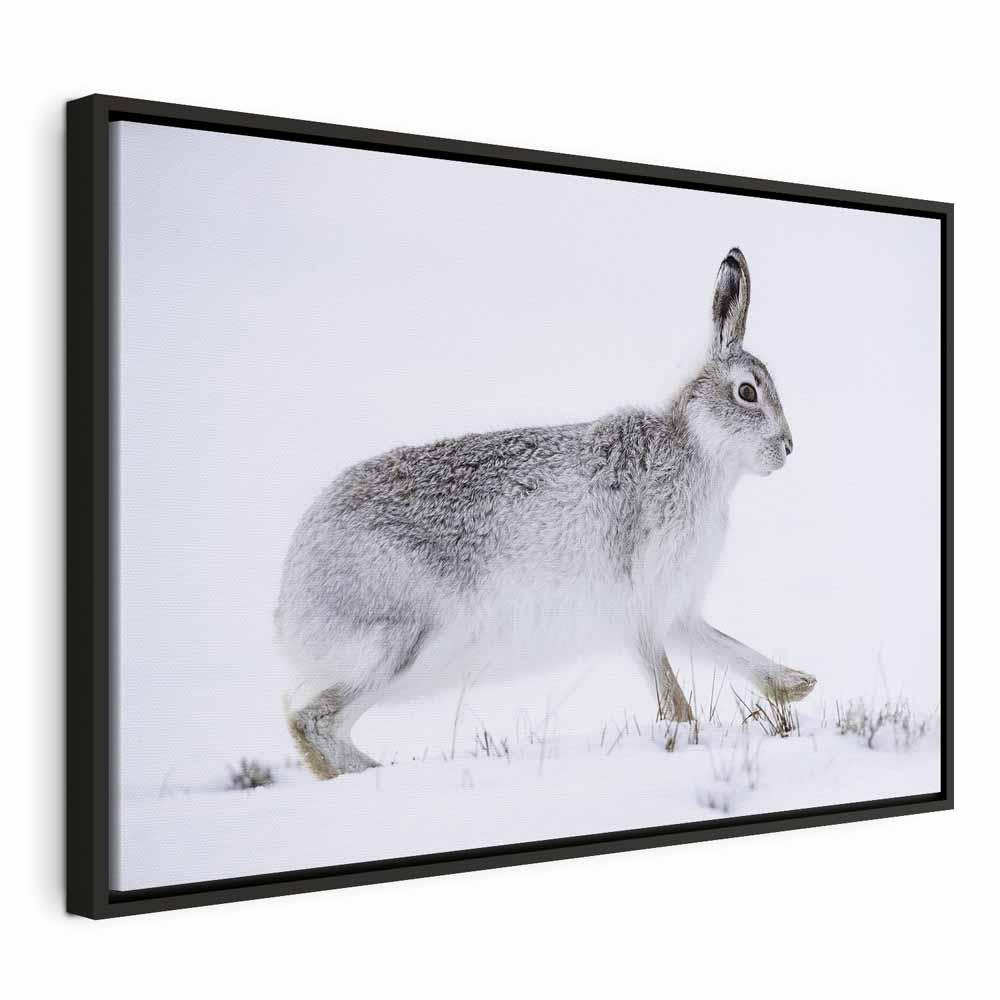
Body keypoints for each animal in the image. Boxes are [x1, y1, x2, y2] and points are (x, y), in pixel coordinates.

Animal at [275, 247, 816, 778]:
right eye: (747, 392)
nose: (788, 447)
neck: (697, 449)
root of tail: (291, 598)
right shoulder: (640, 602)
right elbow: (670, 689)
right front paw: (686, 734)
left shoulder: (676, 608)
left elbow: (725, 646)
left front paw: (796, 685)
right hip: (401, 644)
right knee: (312, 721)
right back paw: (378, 773)